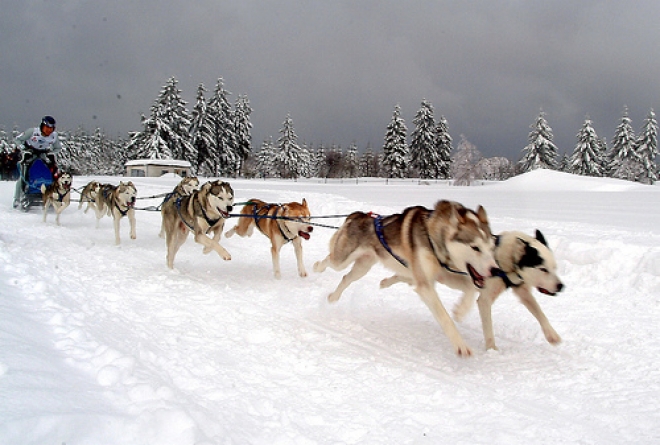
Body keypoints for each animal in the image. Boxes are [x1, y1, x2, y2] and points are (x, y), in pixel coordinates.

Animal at [314, 199, 496, 356]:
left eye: (491, 247)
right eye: (475, 247)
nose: (494, 269)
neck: (433, 236)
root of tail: (359, 215)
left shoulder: (445, 276)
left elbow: (471, 287)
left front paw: (460, 310)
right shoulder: (425, 286)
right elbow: (445, 318)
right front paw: (461, 345)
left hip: (362, 267)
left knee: (346, 278)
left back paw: (334, 297)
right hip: (341, 260)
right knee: (330, 260)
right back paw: (317, 267)